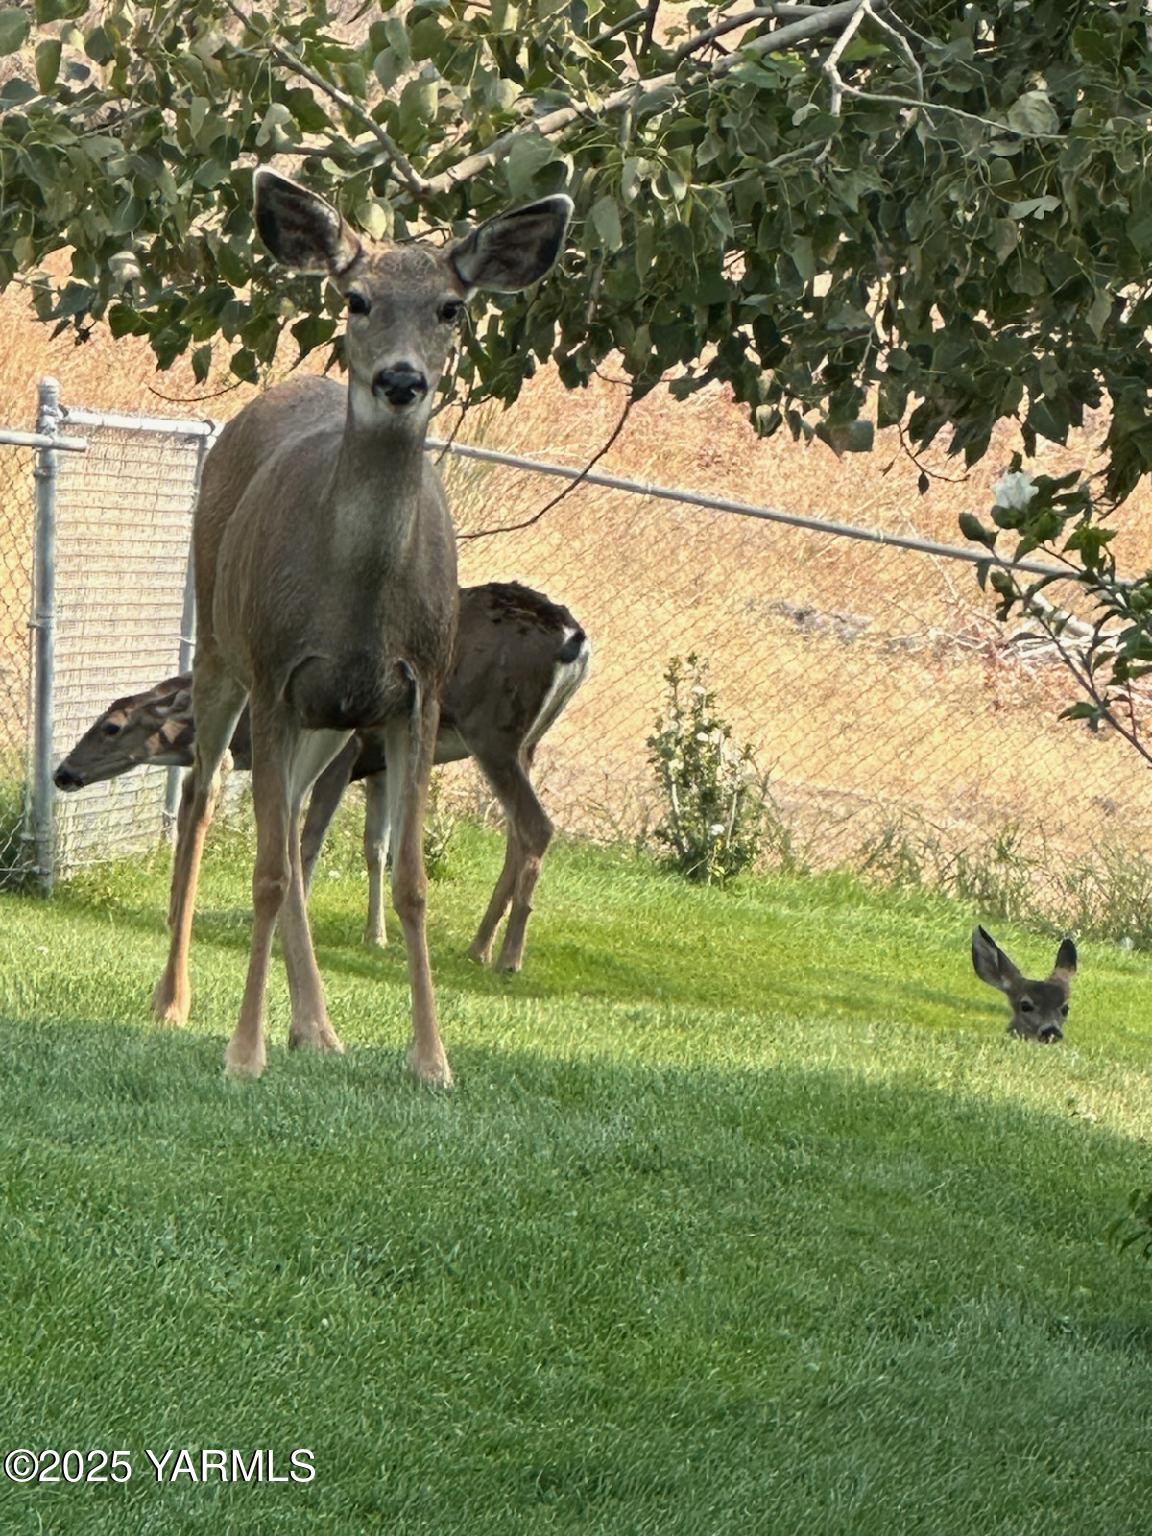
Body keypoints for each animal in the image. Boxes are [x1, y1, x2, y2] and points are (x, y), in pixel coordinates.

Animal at [54, 581, 590, 967]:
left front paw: (292, 922)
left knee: (537, 826)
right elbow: (376, 847)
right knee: (519, 833)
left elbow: (309, 837)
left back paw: (507, 957)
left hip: (493, 732)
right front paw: (375, 935)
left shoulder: (344, 751)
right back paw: (479, 945)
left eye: (110, 726)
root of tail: (576, 641)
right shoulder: (379, 763)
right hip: (526, 743)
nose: (63, 771)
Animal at [149, 168, 572, 1084]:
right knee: (203, 798)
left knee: (292, 823)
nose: (401, 380)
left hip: (330, 722)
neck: (357, 603)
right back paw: (174, 1000)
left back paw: (318, 1027)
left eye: (451, 306)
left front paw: (432, 1061)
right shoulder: (278, 674)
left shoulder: (415, 692)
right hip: (224, 647)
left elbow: (407, 879)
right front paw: (243, 1053)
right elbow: (268, 872)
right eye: (356, 298)